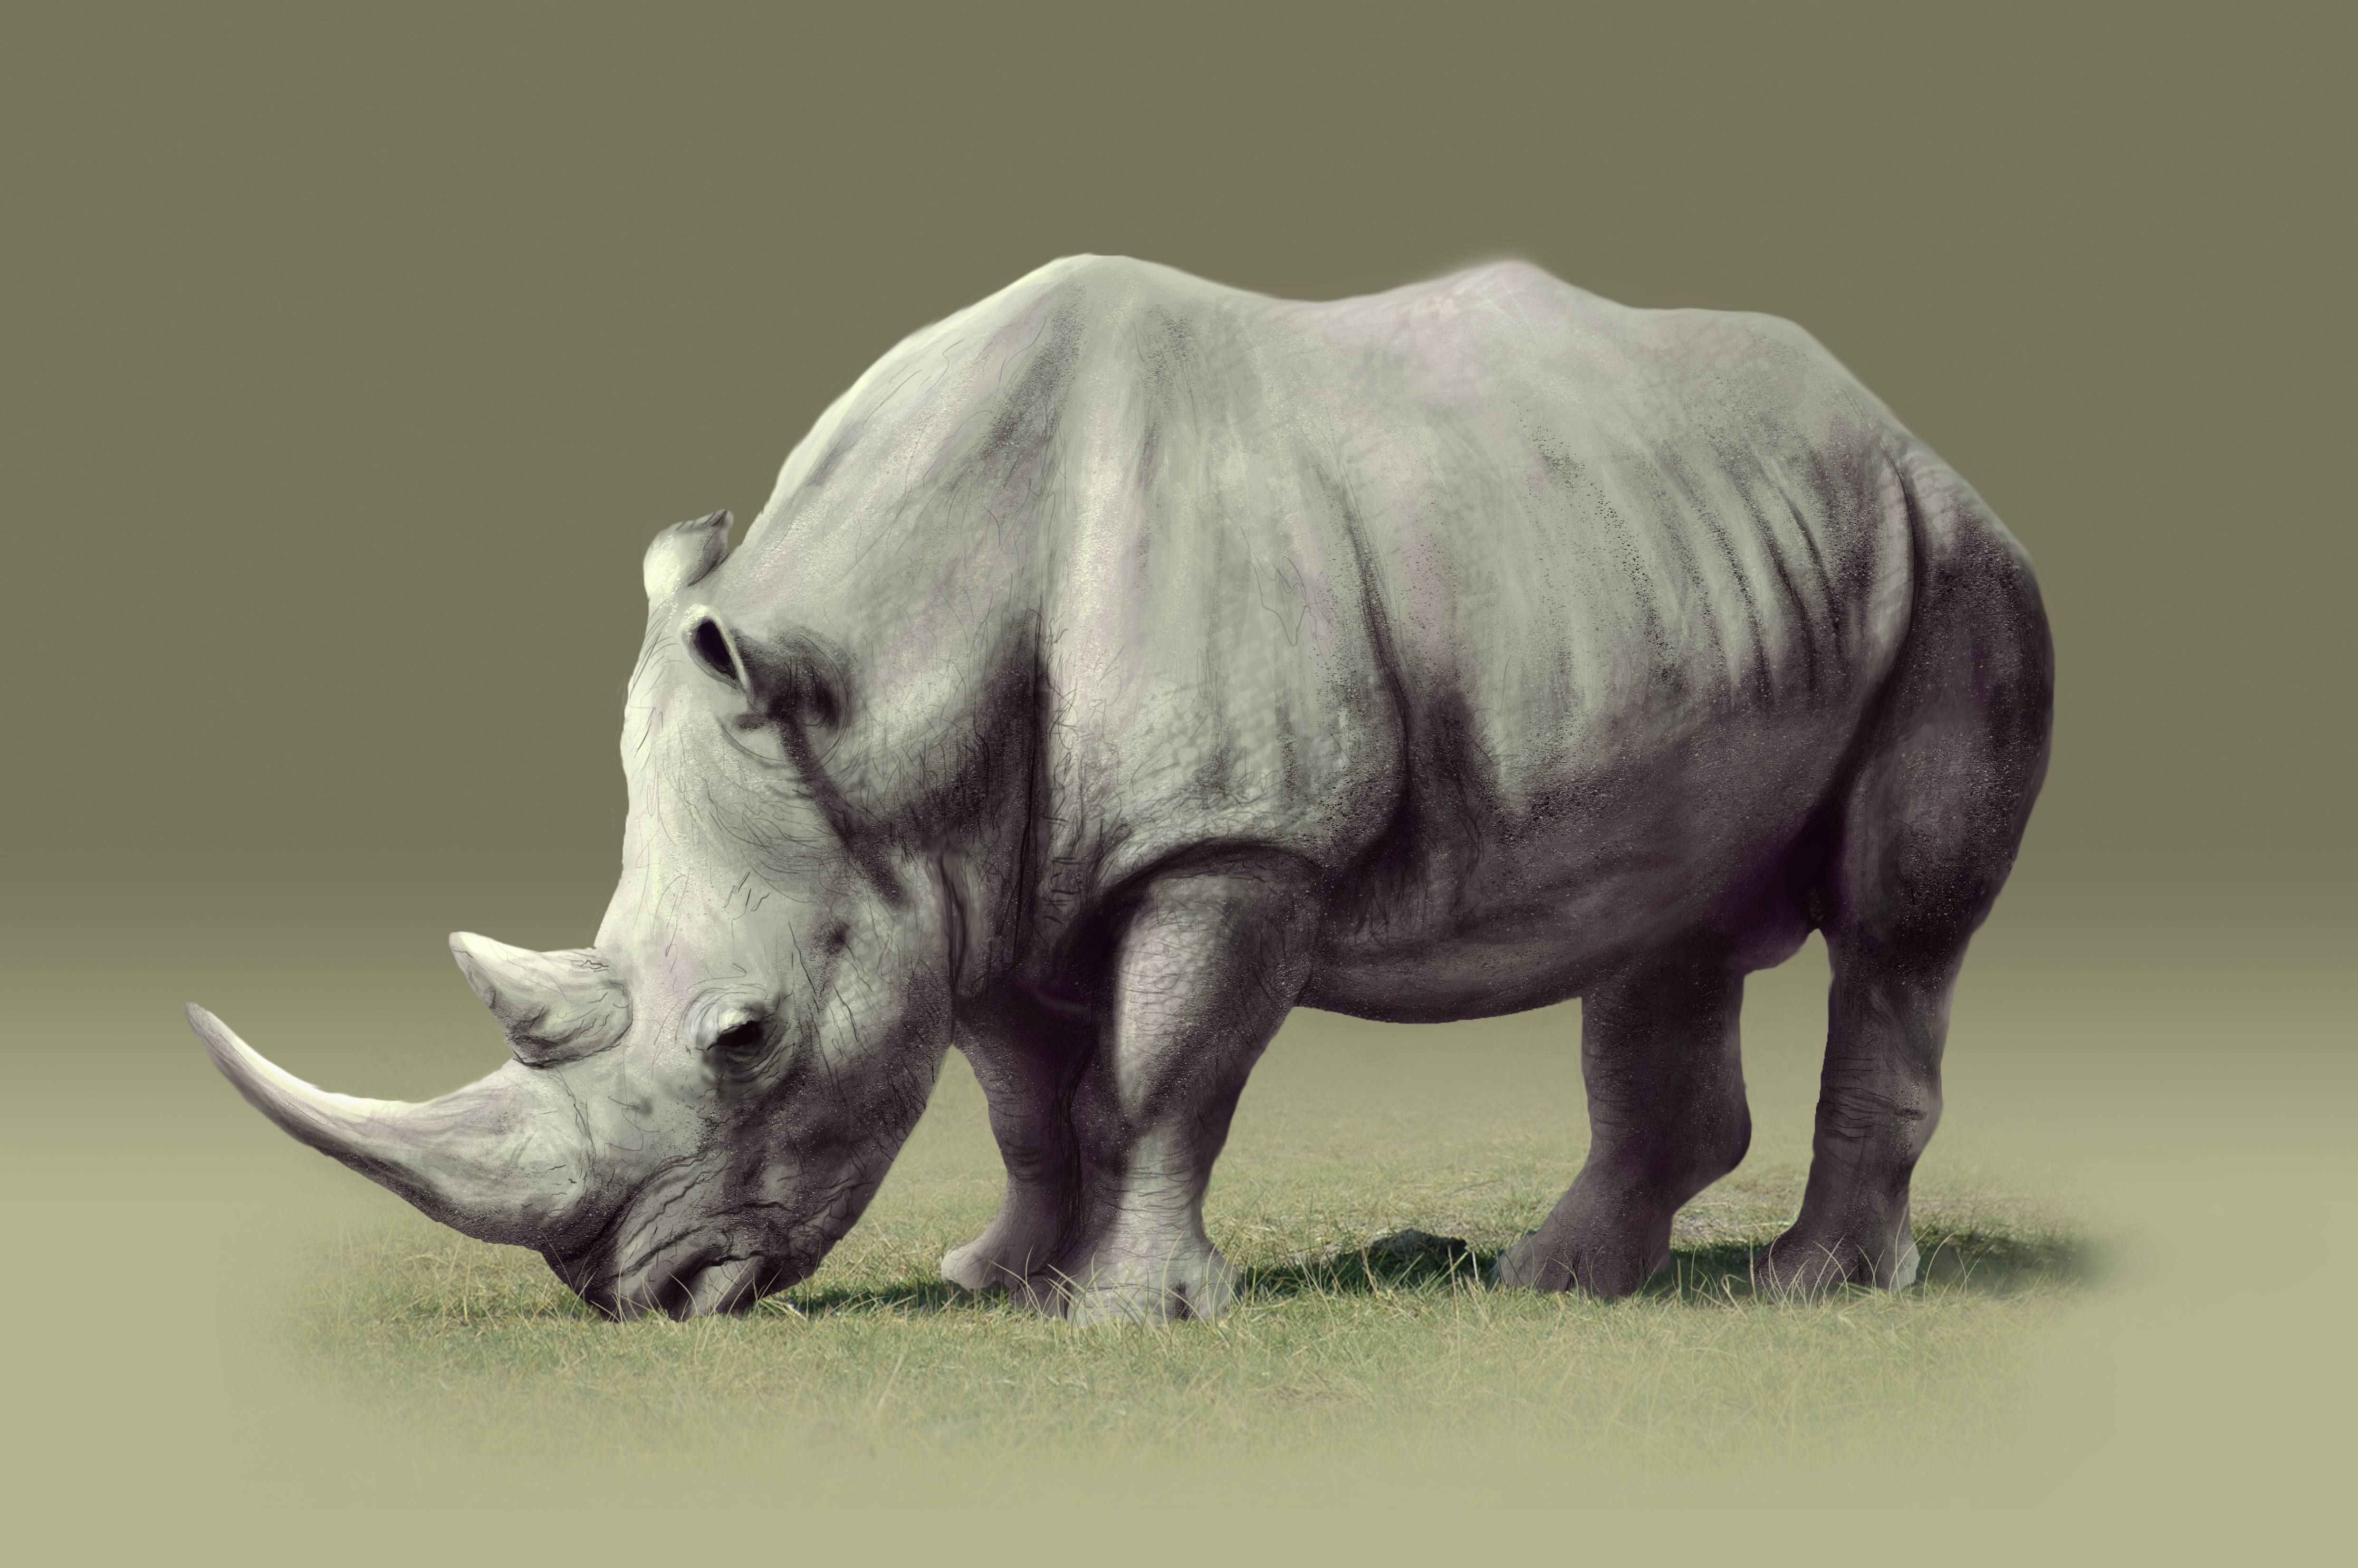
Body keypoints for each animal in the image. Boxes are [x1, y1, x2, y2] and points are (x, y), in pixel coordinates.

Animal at [189, 255, 2052, 1321]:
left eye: (744, 1039)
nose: (630, 1296)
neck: (877, 682)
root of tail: (1893, 421)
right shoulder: (958, 872)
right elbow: (1024, 1095)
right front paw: (999, 1282)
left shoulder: (1231, 844)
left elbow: (1161, 1078)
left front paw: (1127, 1314)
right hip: (1687, 557)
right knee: (1666, 919)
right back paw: (1558, 1285)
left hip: (1955, 566)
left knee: (1898, 922)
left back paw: (1814, 1291)